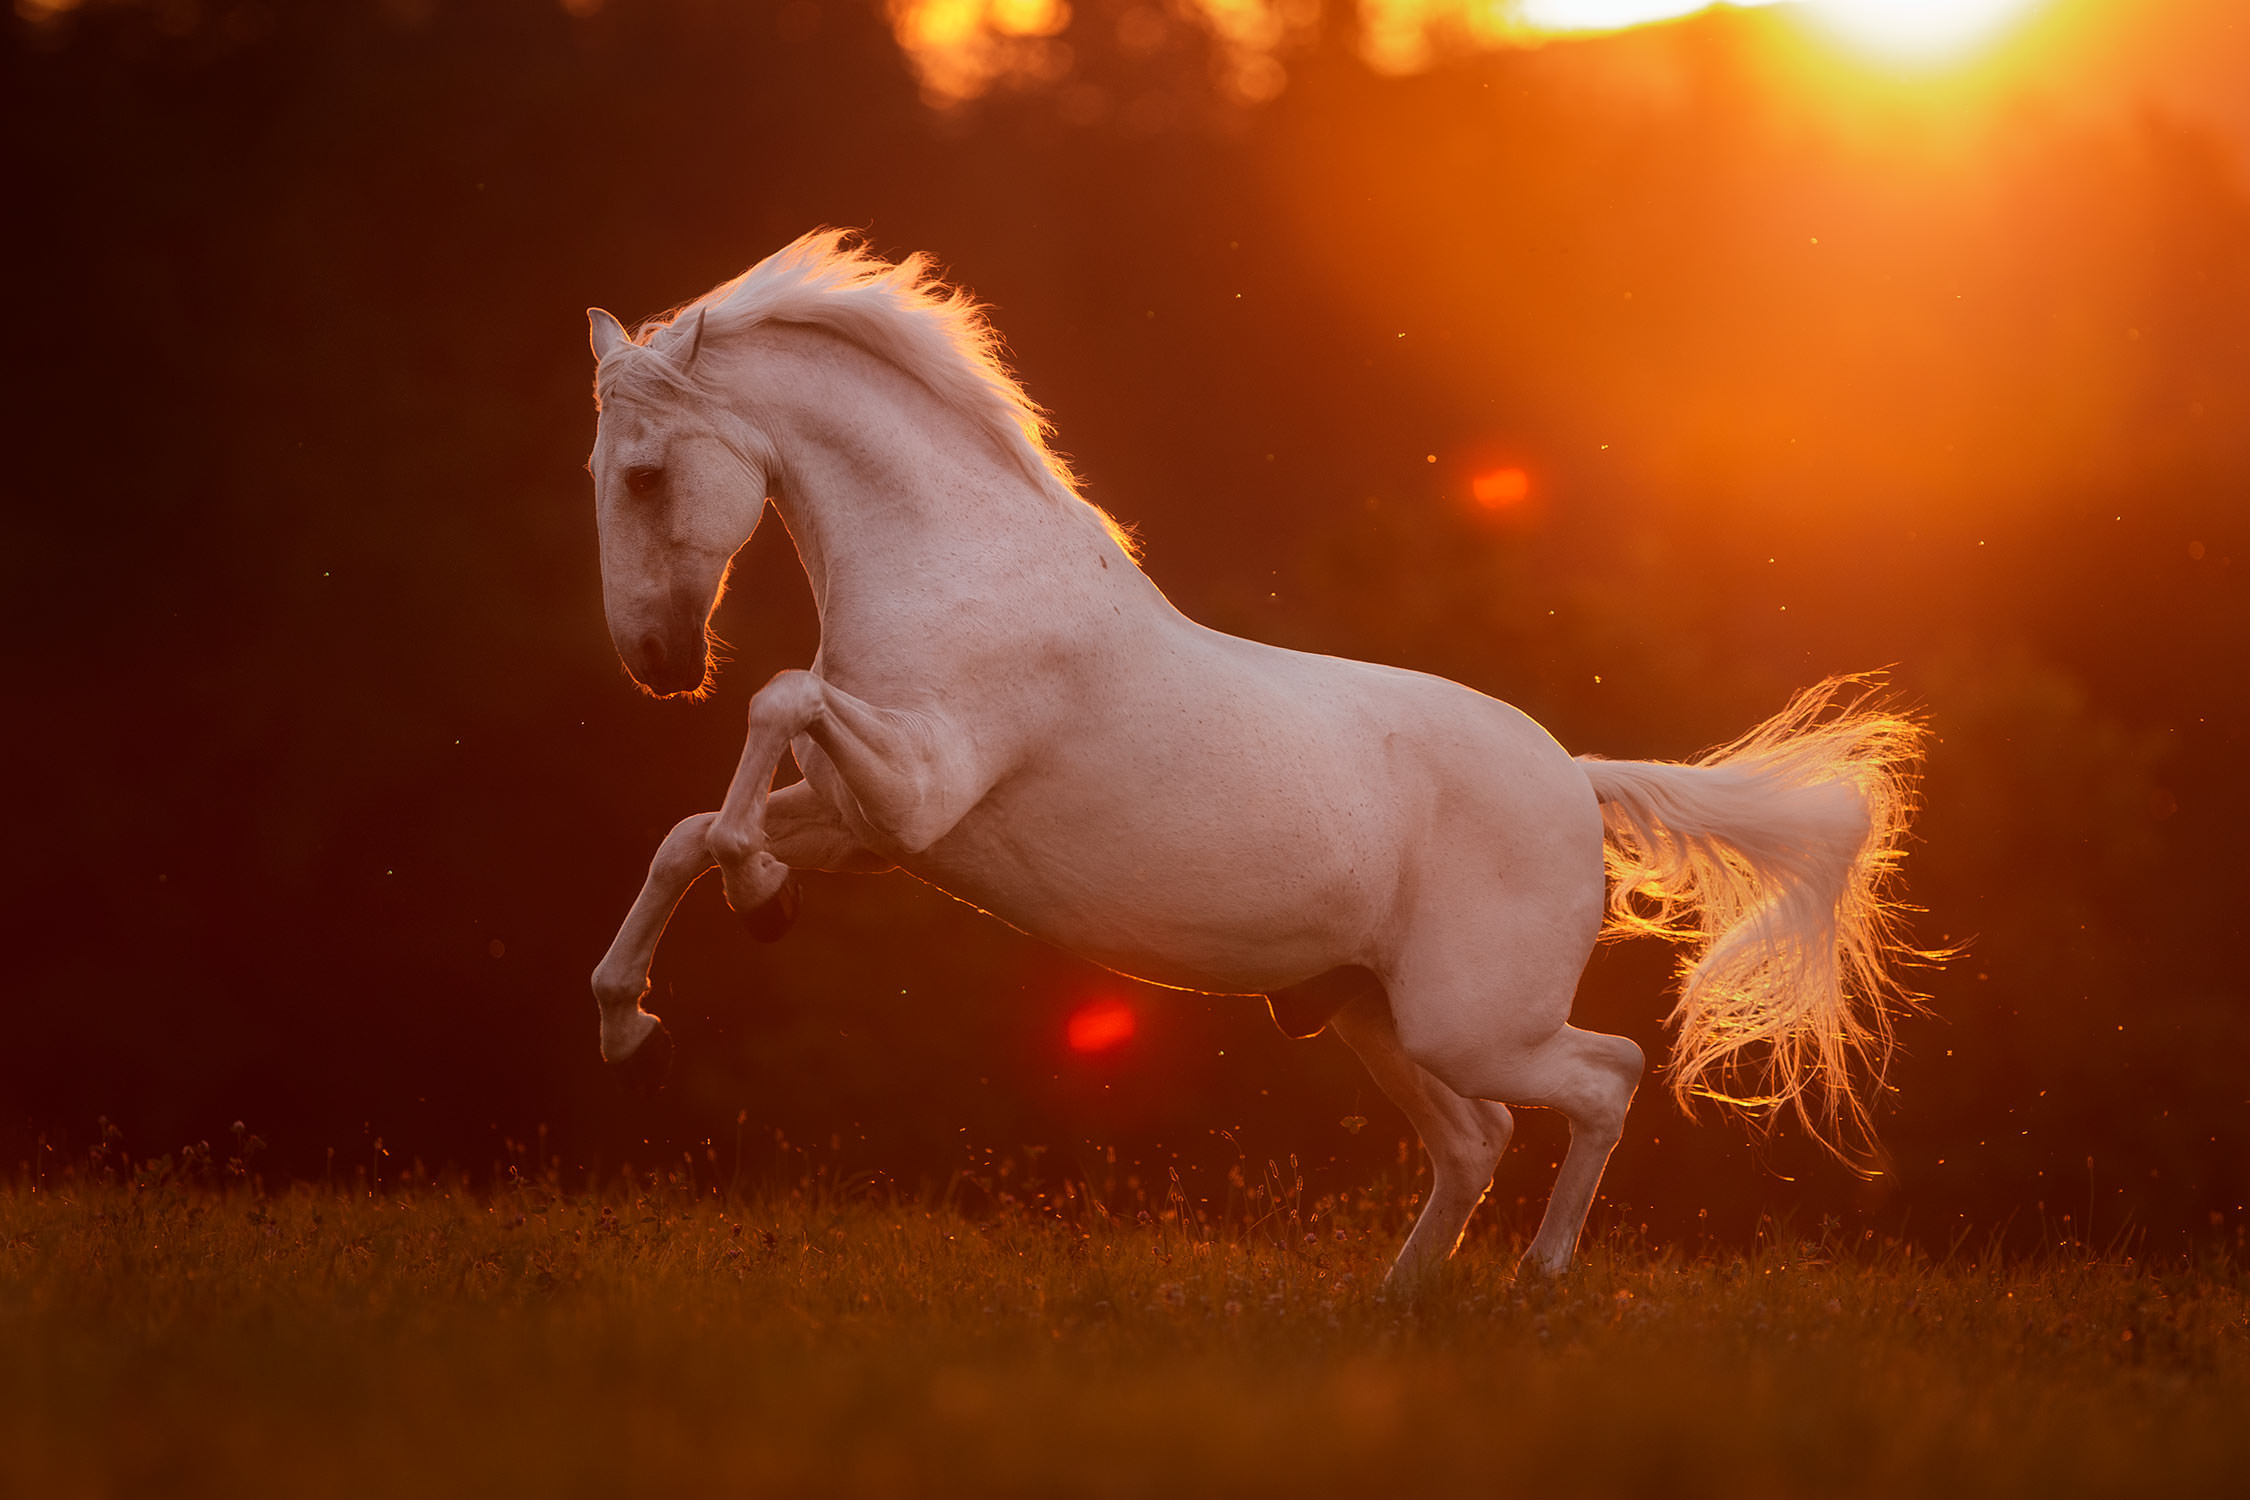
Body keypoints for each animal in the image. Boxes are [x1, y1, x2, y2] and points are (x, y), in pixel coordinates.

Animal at [580, 230, 1928, 1282]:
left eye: (643, 474)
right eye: (598, 469)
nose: (653, 662)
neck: (970, 572)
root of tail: (1576, 782)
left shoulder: (913, 794)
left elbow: (773, 705)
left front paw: (752, 905)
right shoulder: (868, 823)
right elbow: (689, 835)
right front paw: (633, 1015)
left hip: (1470, 1021)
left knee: (1606, 1076)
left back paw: (1538, 1283)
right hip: (1371, 1014)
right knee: (1476, 1139)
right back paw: (1397, 1304)